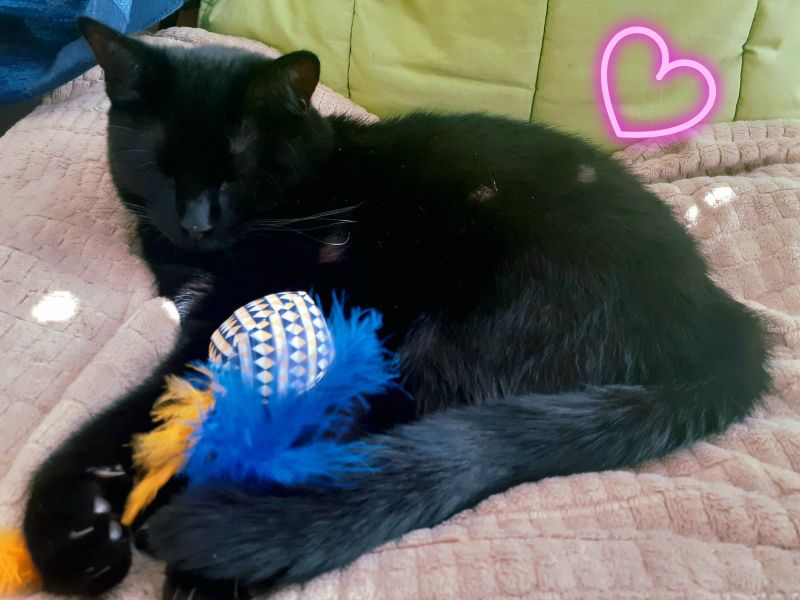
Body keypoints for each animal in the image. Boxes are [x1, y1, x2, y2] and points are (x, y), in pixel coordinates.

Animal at [21, 17, 771, 600]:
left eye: (238, 167)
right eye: (159, 164)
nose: (195, 221)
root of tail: (724, 318)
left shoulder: (233, 316)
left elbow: (152, 401)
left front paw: (66, 525)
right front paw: (90, 516)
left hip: (468, 327)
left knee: (389, 424)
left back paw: (225, 552)